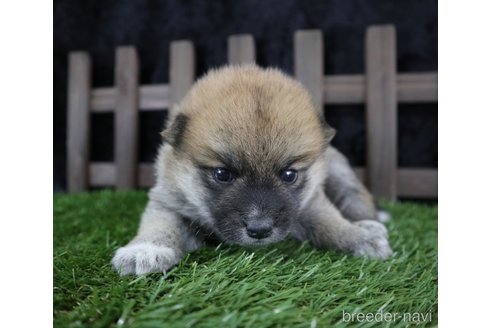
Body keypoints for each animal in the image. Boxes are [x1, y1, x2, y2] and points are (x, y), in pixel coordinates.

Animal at [111, 65, 392, 276]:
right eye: (222, 174)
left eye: (289, 175)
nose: (259, 230)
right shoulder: (169, 201)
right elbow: (159, 224)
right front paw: (145, 249)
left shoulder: (311, 201)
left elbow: (330, 223)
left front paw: (358, 238)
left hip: (340, 172)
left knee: (354, 197)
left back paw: (369, 223)